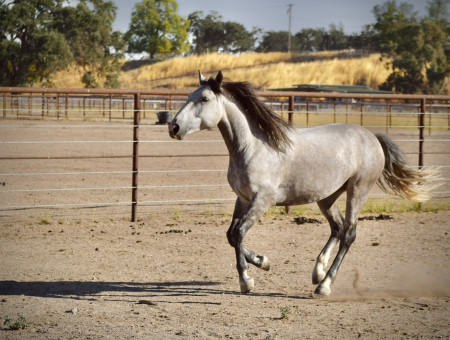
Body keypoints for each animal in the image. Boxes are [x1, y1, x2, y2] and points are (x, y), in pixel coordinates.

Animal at [169, 71, 440, 294]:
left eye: (204, 99)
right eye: (190, 96)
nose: (174, 127)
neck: (253, 147)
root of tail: (372, 137)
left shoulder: (263, 200)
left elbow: (238, 233)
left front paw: (247, 281)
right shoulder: (243, 198)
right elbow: (231, 235)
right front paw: (263, 262)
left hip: (358, 190)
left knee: (349, 234)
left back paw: (324, 285)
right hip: (327, 197)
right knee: (337, 228)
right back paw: (317, 271)